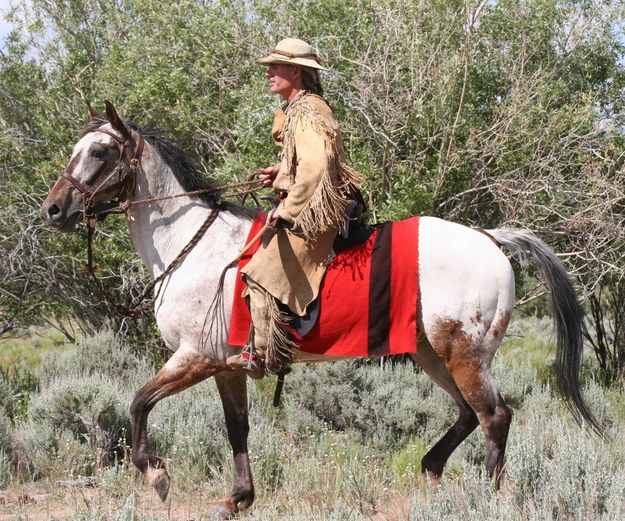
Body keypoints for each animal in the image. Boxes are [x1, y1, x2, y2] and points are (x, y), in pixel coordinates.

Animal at [41, 101, 596, 516]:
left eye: (100, 150)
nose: (54, 209)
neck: (191, 244)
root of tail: (489, 238)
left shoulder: (195, 357)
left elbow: (138, 402)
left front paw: (156, 473)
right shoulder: (226, 366)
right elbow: (236, 429)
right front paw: (237, 499)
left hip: (464, 355)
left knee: (494, 416)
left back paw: (486, 497)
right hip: (432, 354)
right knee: (466, 415)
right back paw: (431, 469)